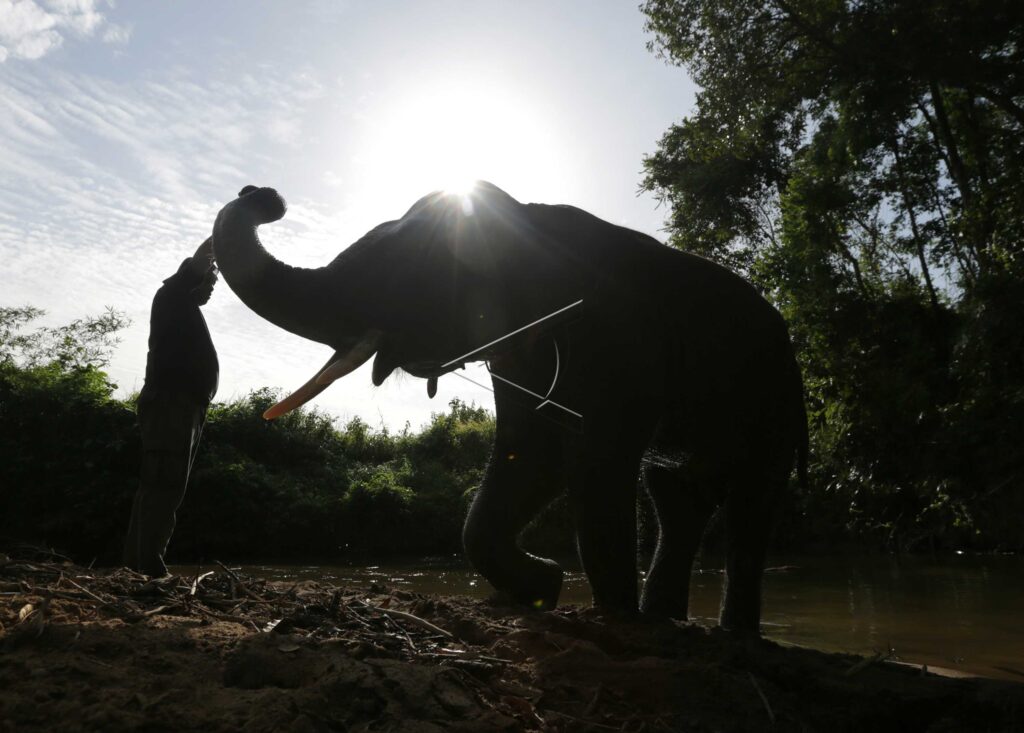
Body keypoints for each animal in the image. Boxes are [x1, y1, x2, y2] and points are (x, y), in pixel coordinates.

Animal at [212, 181, 807, 633]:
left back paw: (725, 634)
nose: (262, 196)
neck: (526, 219)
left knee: (752, 498)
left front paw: (610, 616)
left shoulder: (619, 339)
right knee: (679, 494)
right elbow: (534, 450)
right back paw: (669, 621)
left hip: (778, 393)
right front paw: (543, 586)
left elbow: (593, 457)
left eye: (409, 275)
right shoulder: (519, 349)